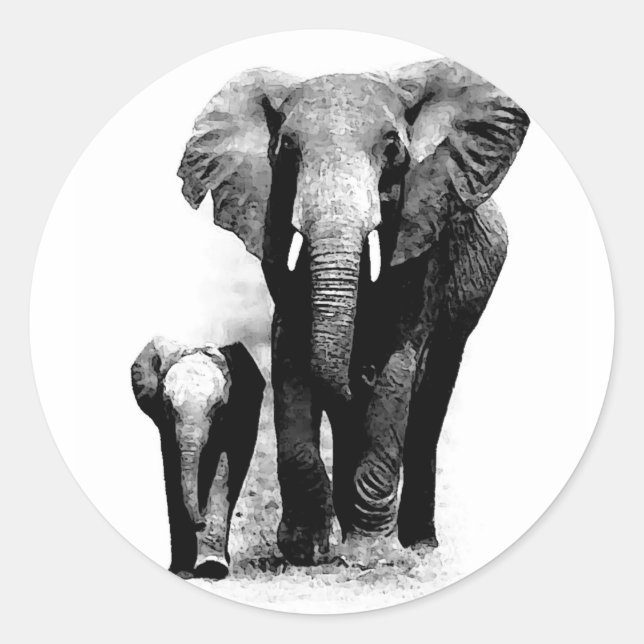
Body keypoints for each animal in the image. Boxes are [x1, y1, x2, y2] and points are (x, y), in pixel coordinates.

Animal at [131, 337, 265, 578]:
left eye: (218, 407)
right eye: (168, 404)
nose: (200, 523)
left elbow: (223, 472)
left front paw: (212, 567)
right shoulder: (167, 427)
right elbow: (173, 470)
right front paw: (182, 570)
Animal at [177, 59, 529, 565]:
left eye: (392, 148)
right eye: (287, 148)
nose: (357, 373)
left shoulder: (423, 229)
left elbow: (396, 368)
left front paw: (369, 556)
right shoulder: (269, 219)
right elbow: (291, 351)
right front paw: (305, 551)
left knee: (429, 402)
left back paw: (419, 545)